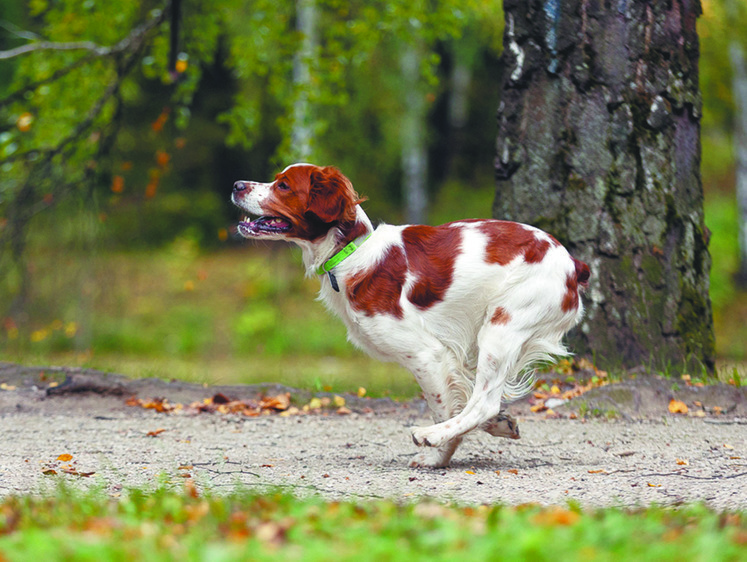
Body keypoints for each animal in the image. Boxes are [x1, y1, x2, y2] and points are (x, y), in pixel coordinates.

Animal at [234, 163, 592, 468]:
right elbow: (462, 398)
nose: (237, 185)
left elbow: (443, 405)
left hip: (501, 326)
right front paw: (501, 425)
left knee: (484, 400)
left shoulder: (426, 354)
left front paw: (438, 456)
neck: (351, 253)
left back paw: (430, 435)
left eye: (283, 185)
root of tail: (572, 263)